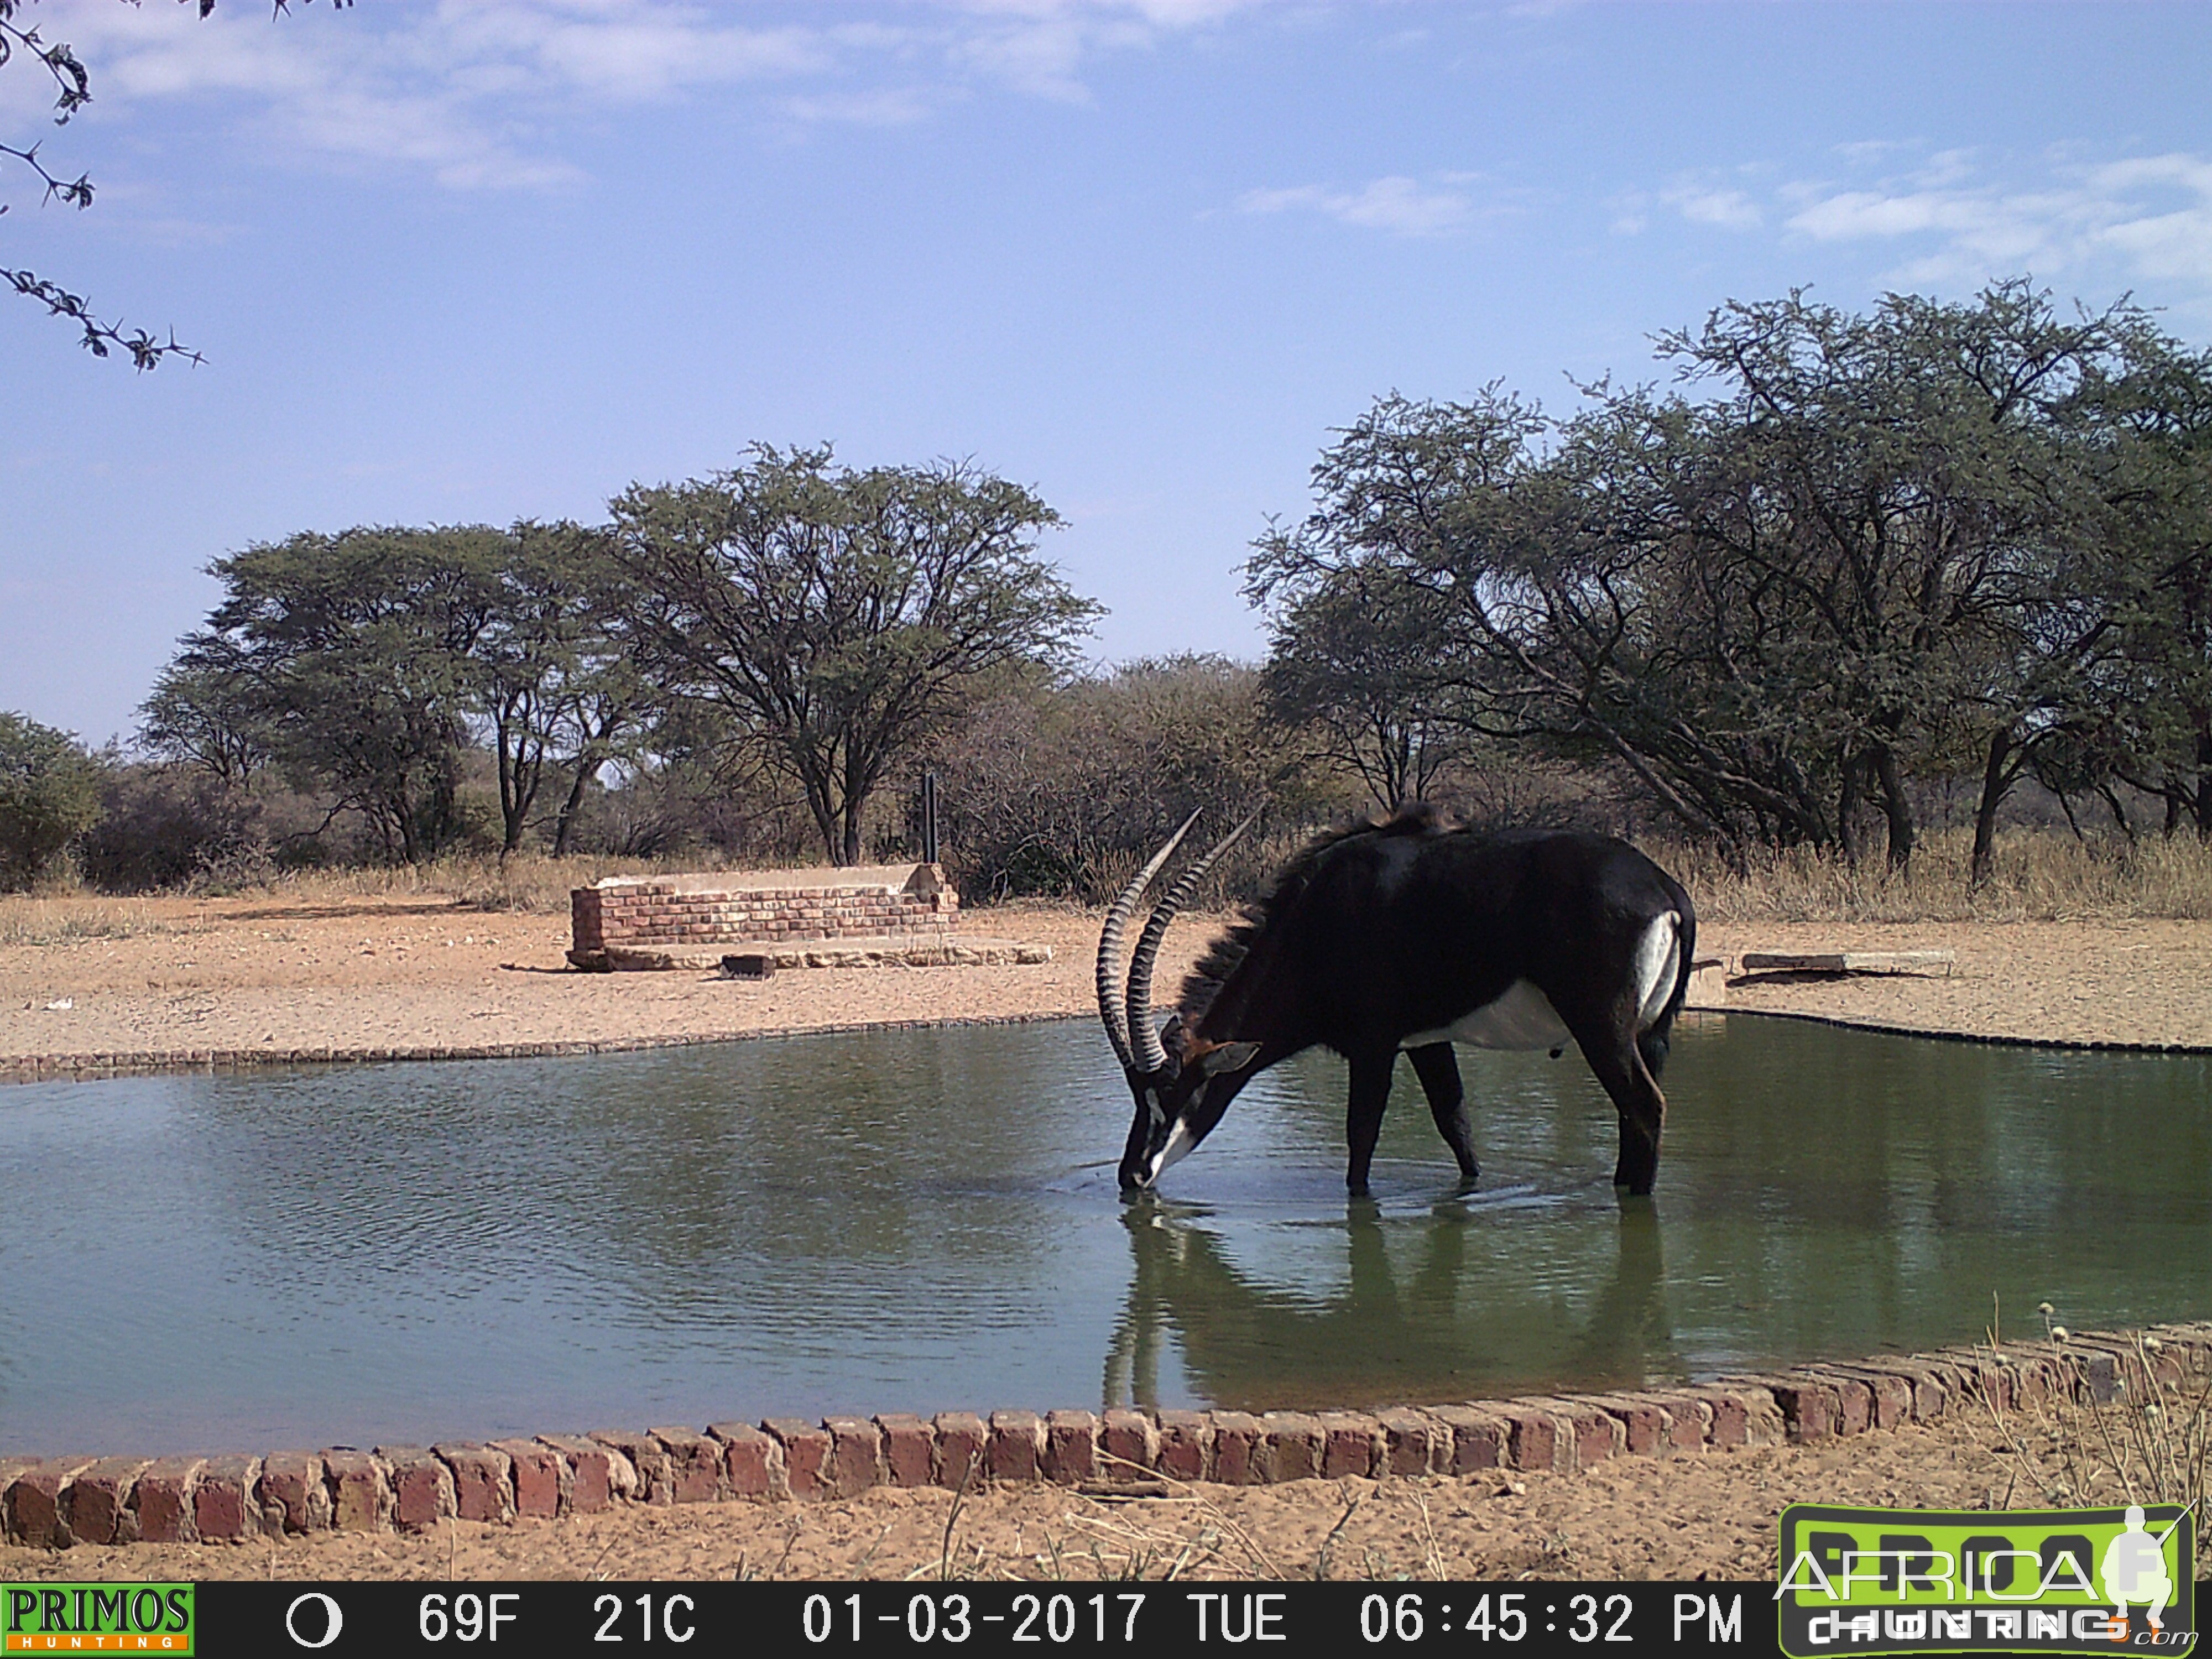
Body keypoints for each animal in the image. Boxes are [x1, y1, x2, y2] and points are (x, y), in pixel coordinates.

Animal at [1097, 805, 1699, 1194]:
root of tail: (1666, 892)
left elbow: (1360, 1141)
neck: (1314, 919)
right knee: (1633, 1117)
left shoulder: (1374, 1046)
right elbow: (1456, 1125)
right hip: (1653, 1035)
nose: (1131, 1176)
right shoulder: (1426, 1042)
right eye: (1136, 1096)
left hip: (1601, 1030)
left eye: (1173, 1092)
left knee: (1645, 1109)